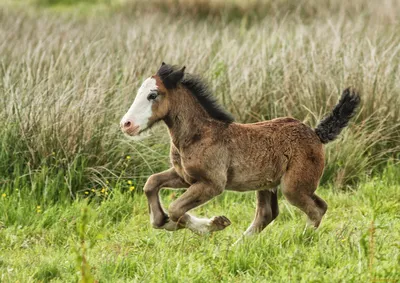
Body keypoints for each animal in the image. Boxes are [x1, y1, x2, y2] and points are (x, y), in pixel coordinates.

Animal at [119, 62, 360, 237]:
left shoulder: (212, 183)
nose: (126, 124)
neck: (198, 135)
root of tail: (316, 134)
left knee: (316, 209)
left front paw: (212, 225)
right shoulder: (185, 177)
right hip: (267, 184)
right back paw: (239, 246)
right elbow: (151, 184)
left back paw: (302, 240)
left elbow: (176, 208)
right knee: (268, 214)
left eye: (153, 95)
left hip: (294, 187)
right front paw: (164, 222)